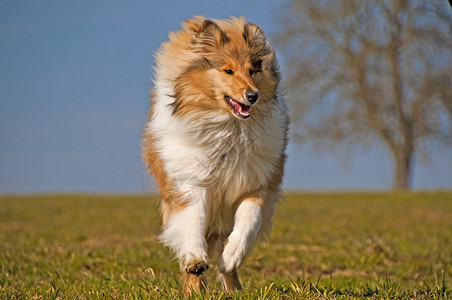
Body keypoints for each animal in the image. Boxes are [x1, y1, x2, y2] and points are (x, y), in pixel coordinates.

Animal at [141, 15, 288, 292]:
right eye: (228, 71)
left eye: (252, 70)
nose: (252, 95)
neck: (228, 131)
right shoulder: (191, 180)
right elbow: (194, 219)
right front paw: (195, 259)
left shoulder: (257, 182)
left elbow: (249, 221)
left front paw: (231, 257)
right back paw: (193, 287)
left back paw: (234, 287)